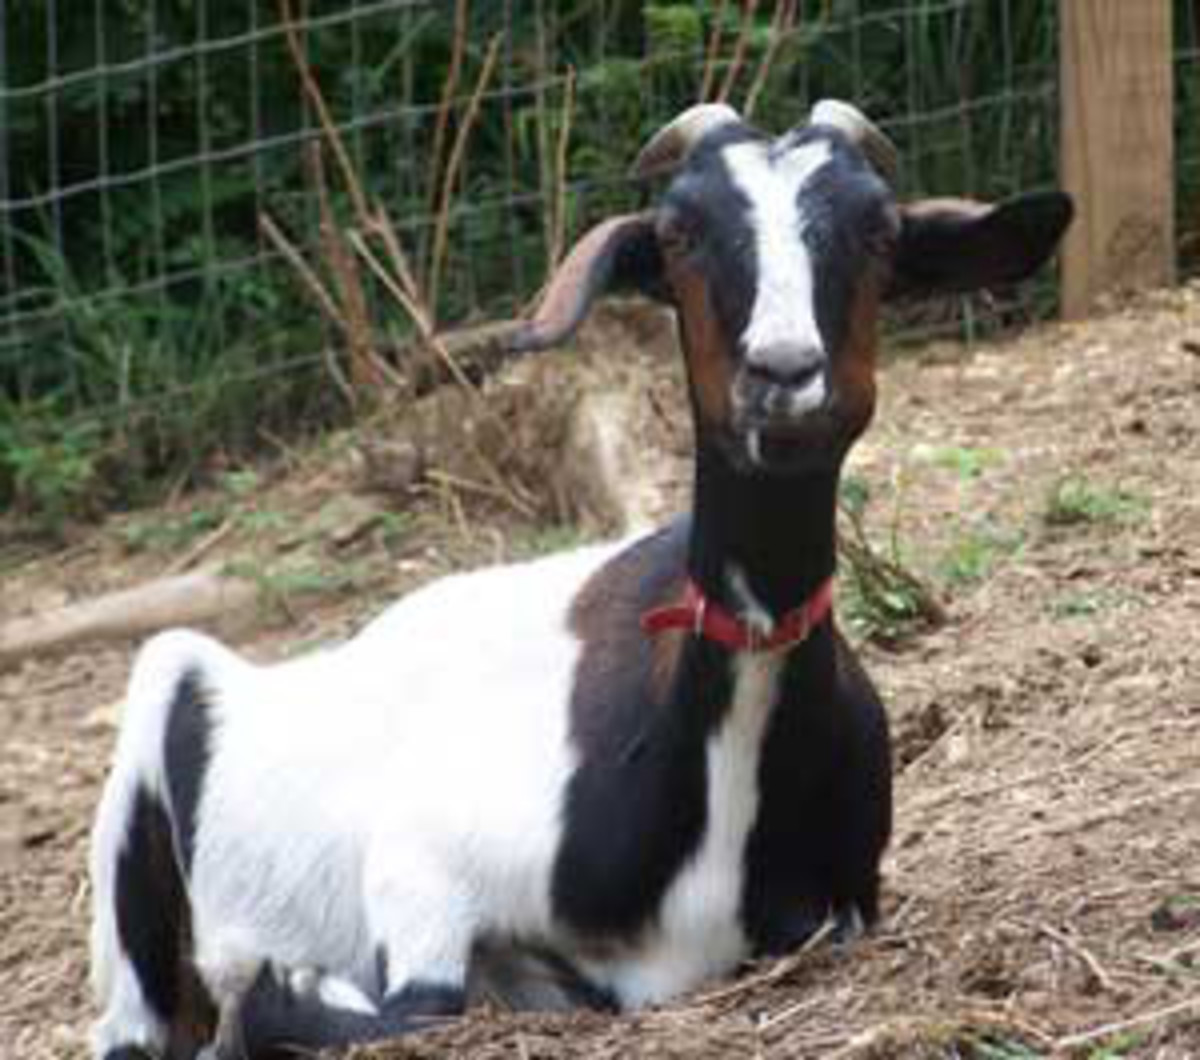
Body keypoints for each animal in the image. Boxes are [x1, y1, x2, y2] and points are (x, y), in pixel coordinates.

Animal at [89, 100, 1073, 1060]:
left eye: (877, 229)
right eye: (677, 232)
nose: (784, 372)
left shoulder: (843, 911)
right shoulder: (420, 872)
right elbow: (399, 1006)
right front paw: (286, 988)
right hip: (156, 727)